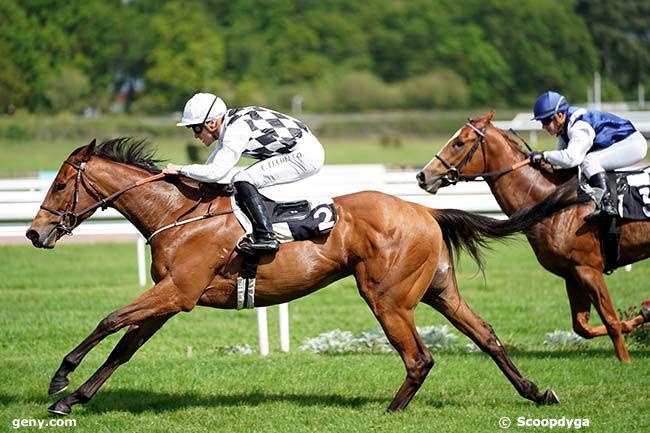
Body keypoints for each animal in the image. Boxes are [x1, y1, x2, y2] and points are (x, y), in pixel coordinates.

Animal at [25, 137, 568, 414]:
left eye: (59, 185)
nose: (33, 233)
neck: (178, 214)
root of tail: (423, 210)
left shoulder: (177, 293)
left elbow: (108, 321)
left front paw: (59, 379)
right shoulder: (170, 297)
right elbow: (123, 347)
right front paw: (73, 399)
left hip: (387, 297)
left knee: (420, 357)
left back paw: (390, 412)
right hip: (438, 290)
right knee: (487, 336)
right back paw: (536, 391)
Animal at [416, 110, 648, 362]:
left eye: (459, 142)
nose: (423, 175)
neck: (556, 202)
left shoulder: (588, 268)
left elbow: (611, 321)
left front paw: (625, 361)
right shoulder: (572, 274)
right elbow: (582, 327)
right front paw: (640, 317)